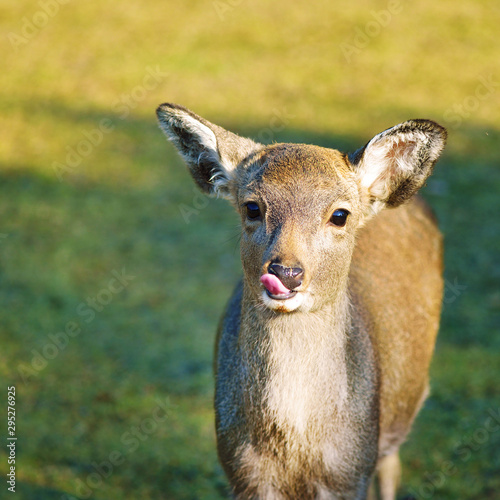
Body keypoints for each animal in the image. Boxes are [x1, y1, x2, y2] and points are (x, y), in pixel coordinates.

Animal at [155, 102, 446, 500]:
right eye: (252, 207)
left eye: (339, 215)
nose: (286, 272)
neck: (295, 449)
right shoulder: (241, 471)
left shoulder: (351, 472)